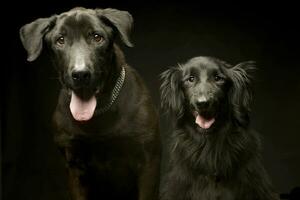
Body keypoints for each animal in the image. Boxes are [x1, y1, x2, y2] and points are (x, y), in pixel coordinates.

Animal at [19, 7, 161, 199]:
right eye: (60, 40)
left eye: (97, 37)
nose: (80, 74)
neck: (98, 117)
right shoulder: (75, 168)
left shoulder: (148, 163)